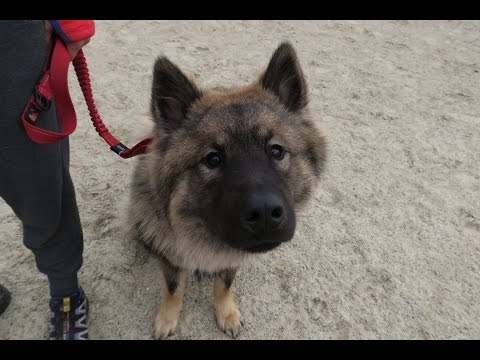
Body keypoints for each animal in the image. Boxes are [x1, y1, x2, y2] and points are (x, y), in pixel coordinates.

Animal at [126, 42, 326, 340]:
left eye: (277, 150)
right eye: (213, 159)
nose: (265, 213)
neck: (207, 241)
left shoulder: (232, 259)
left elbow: (224, 286)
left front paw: (226, 314)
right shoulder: (171, 257)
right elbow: (174, 289)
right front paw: (167, 318)